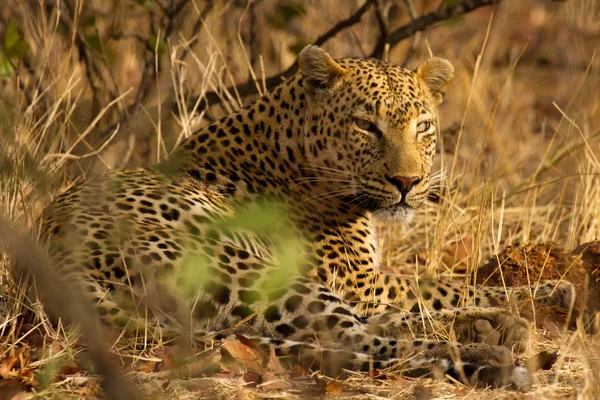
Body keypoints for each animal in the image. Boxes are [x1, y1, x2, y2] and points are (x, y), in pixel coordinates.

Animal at [39, 45, 576, 390]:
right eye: (366, 125)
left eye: (423, 126)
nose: (408, 182)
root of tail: (55, 267)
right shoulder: (359, 280)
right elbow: (445, 284)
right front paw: (548, 291)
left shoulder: (365, 283)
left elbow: (441, 287)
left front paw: (547, 291)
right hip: (244, 271)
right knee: (361, 339)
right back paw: (494, 353)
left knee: (375, 329)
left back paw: (493, 328)